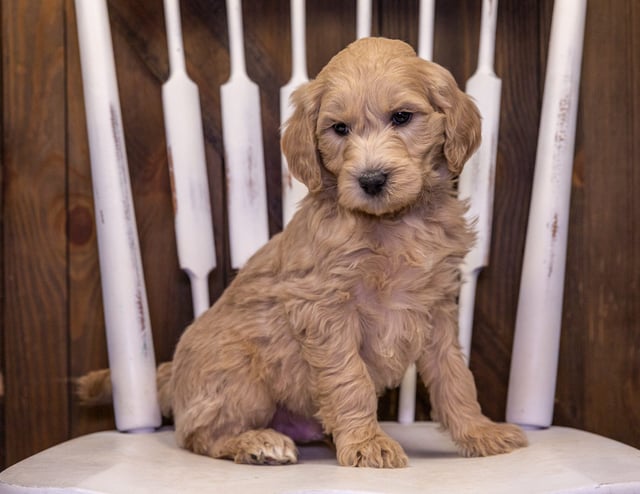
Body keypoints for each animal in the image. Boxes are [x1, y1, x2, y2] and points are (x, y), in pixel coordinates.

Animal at [77, 36, 528, 466]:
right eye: (339, 128)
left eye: (402, 117)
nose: (371, 180)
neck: (393, 224)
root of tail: (171, 375)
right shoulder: (325, 308)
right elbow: (350, 379)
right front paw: (367, 444)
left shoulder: (436, 310)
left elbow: (455, 377)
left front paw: (479, 432)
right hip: (240, 374)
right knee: (199, 435)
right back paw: (258, 443)